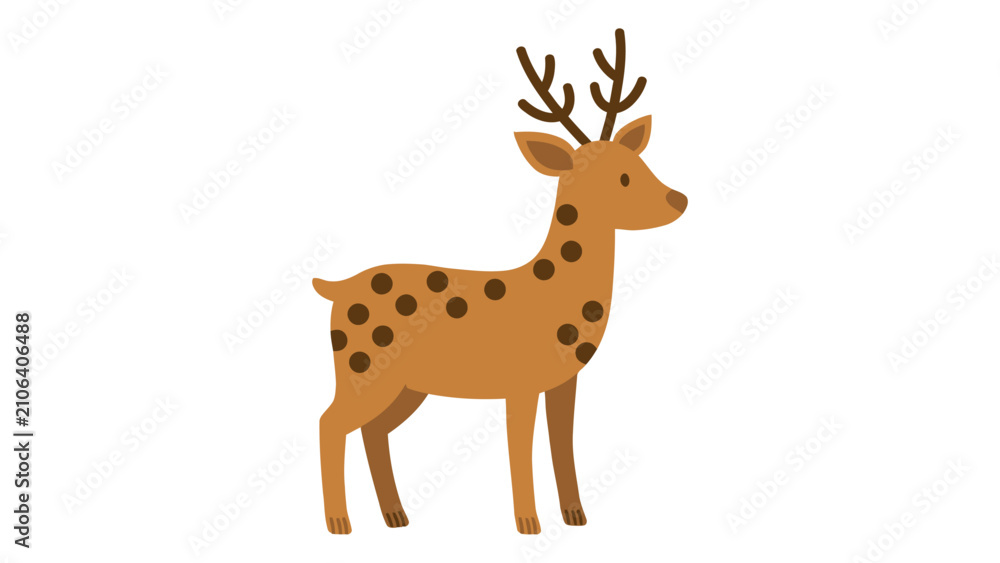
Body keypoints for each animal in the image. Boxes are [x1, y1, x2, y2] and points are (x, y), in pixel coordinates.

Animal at [312, 29, 687, 535]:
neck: (554, 291)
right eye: (622, 178)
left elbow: (562, 443)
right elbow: (519, 448)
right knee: (329, 423)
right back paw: (339, 523)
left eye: (637, 164)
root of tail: (333, 287)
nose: (678, 199)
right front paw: (529, 524)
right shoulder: (520, 380)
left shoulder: (564, 380)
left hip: (404, 386)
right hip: (361, 369)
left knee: (373, 430)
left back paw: (396, 517)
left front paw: (576, 517)